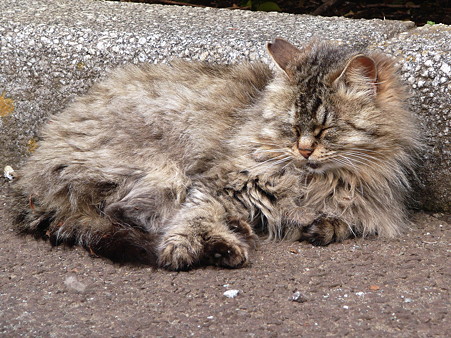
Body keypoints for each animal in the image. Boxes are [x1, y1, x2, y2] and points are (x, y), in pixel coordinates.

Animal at [8, 37, 422, 270]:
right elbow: (192, 218)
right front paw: (181, 250)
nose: (304, 149)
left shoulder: (369, 204)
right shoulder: (217, 183)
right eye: (290, 127)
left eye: (324, 129)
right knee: (134, 214)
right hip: (162, 173)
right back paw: (227, 243)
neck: (309, 182)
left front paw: (322, 226)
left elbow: (346, 221)